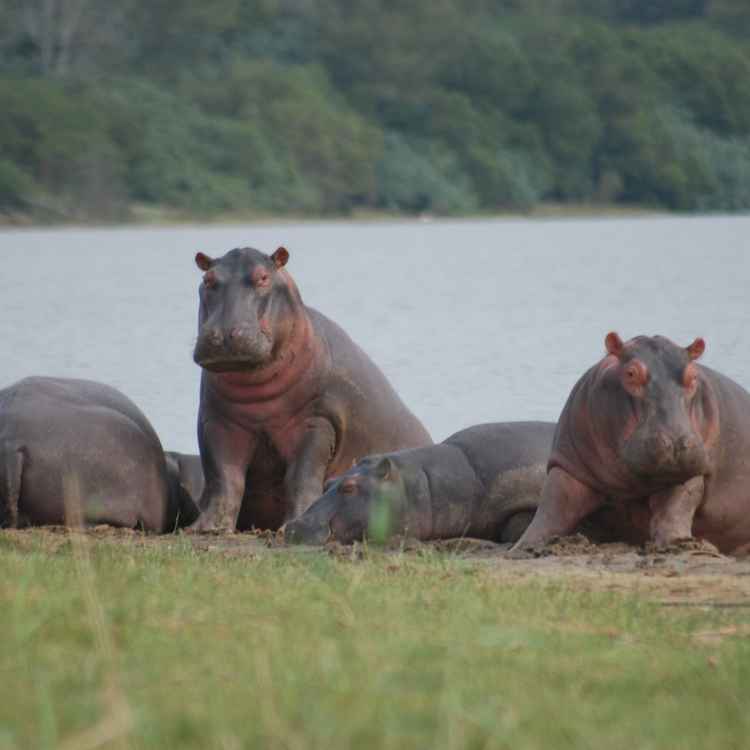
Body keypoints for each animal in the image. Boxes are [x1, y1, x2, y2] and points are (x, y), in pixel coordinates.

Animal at [189, 246, 432, 532]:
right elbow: (224, 476)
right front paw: (206, 528)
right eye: (208, 280)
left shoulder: (317, 420)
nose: (223, 333)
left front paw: (290, 525)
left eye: (263, 277)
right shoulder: (219, 422)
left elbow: (301, 476)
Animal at [513, 333, 750, 556]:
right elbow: (553, 506)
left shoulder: (686, 471)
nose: (675, 441)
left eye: (693, 376)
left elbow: (675, 506)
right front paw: (523, 547)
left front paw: (678, 544)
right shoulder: (568, 464)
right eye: (630, 373)